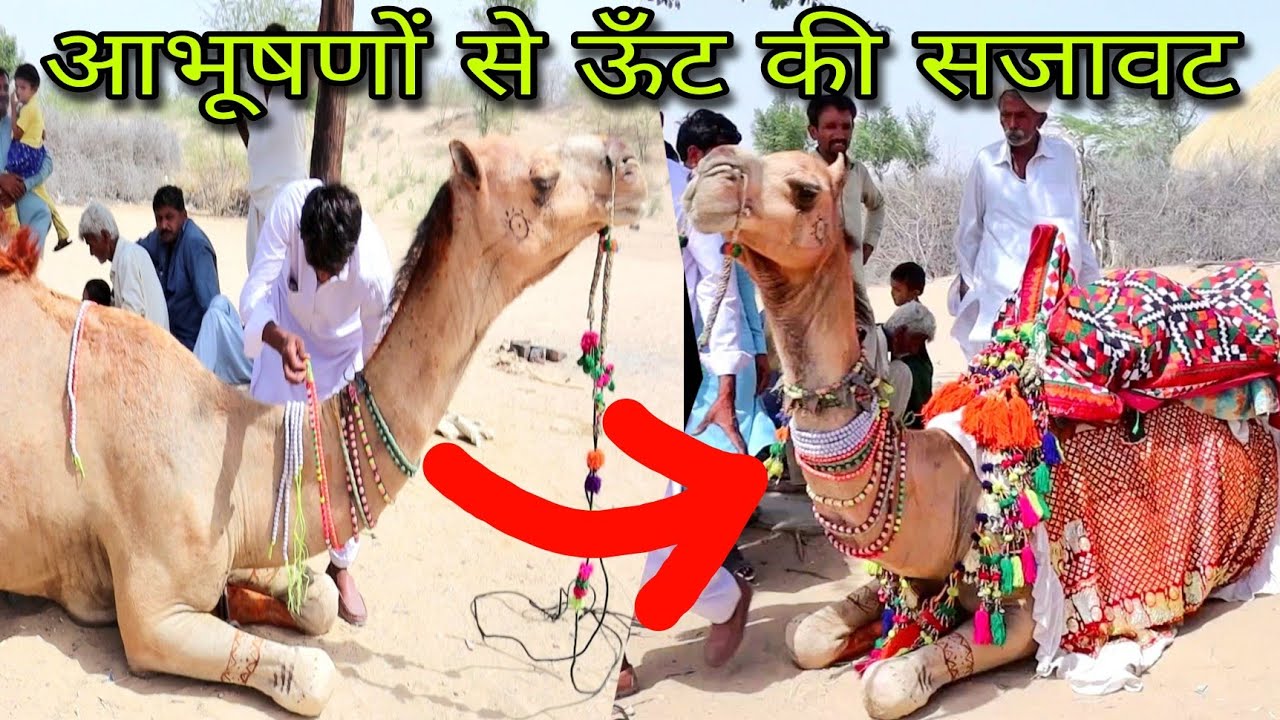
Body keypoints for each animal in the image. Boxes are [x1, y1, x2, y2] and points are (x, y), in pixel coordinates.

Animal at [0, 133, 647, 716]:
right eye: (542, 180)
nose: (630, 164)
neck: (220, 435)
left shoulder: (246, 533)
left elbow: (319, 601)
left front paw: (251, 601)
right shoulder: (153, 613)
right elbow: (313, 673)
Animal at [681, 145, 1280, 719]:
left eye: (803, 190)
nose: (708, 175)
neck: (955, 482)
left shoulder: (1031, 615)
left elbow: (889, 683)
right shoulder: (903, 576)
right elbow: (804, 635)